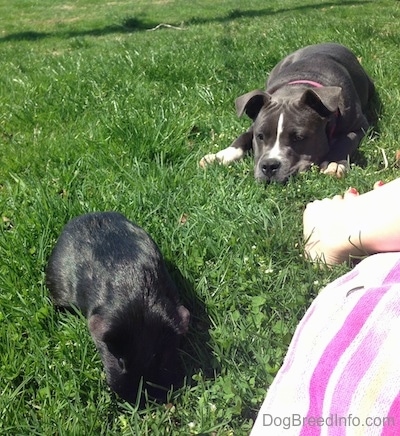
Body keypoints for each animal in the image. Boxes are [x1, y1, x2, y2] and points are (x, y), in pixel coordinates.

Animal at [200, 42, 376, 182]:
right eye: (260, 136)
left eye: (298, 138)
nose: (269, 165)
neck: (294, 89)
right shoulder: (254, 124)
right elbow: (243, 136)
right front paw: (221, 156)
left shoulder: (359, 125)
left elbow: (345, 141)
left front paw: (335, 163)